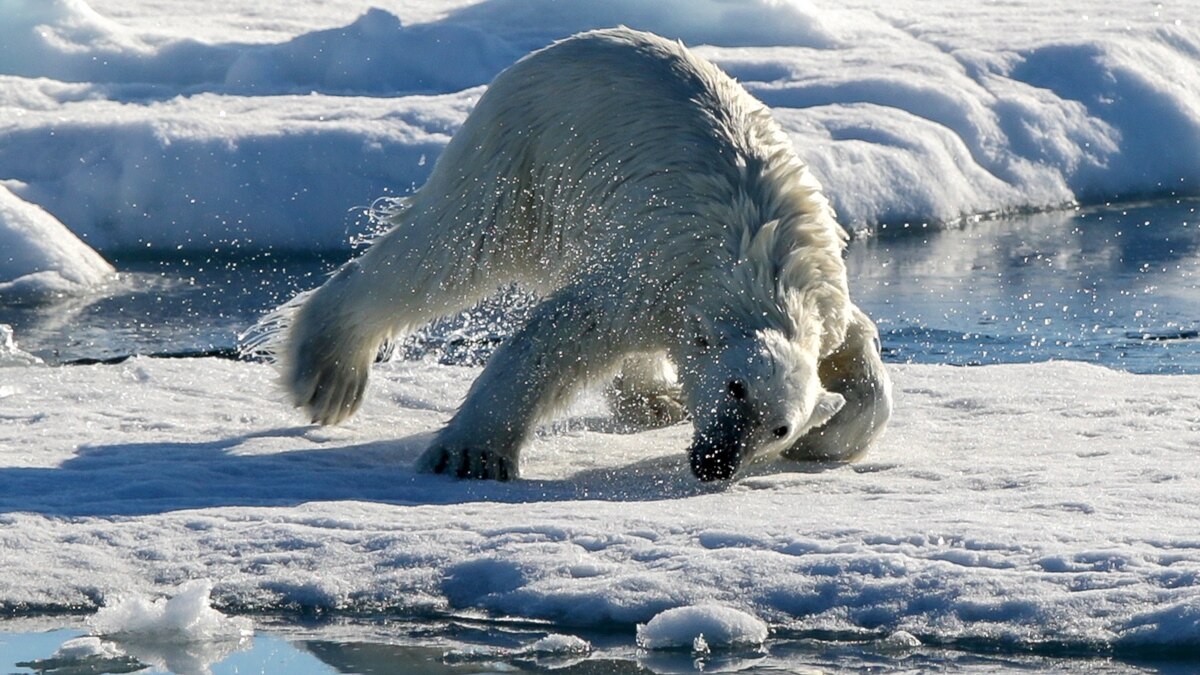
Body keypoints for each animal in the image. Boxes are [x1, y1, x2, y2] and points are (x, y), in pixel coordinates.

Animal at [262, 26, 892, 478]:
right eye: (736, 388)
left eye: (779, 426)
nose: (716, 461)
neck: (763, 277)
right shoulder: (654, 275)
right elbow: (564, 334)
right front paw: (470, 456)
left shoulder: (828, 305)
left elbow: (863, 361)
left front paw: (829, 432)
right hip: (521, 160)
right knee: (447, 254)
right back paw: (328, 376)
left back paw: (657, 401)